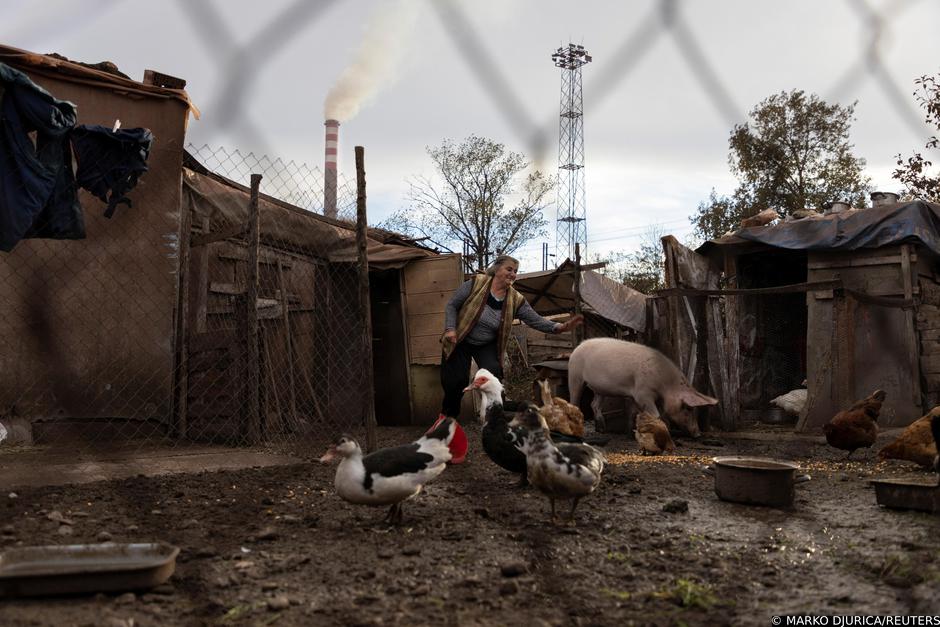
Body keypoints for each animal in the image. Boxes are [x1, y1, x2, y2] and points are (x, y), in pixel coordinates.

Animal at [564, 338, 720, 436]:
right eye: (688, 408)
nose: (698, 434)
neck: (664, 385)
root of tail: (579, 346)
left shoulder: (635, 396)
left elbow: (635, 412)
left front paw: (630, 431)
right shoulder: (642, 393)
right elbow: (656, 414)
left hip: (600, 389)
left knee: (594, 404)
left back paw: (602, 429)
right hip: (574, 376)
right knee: (574, 400)